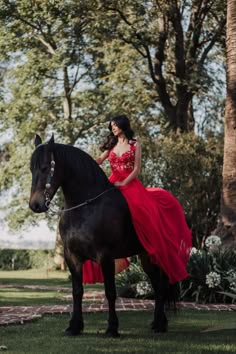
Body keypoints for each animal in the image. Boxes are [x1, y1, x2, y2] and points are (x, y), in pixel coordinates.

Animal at [29, 135, 175, 338]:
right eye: (31, 169)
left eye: (44, 168)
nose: (35, 204)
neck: (86, 206)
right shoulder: (72, 257)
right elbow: (77, 291)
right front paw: (74, 326)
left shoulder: (106, 257)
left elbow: (110, 292)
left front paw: (112, 328)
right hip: (146, 256)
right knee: (157, 286)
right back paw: (157, 323)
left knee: (160, 287)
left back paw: (160, 324)